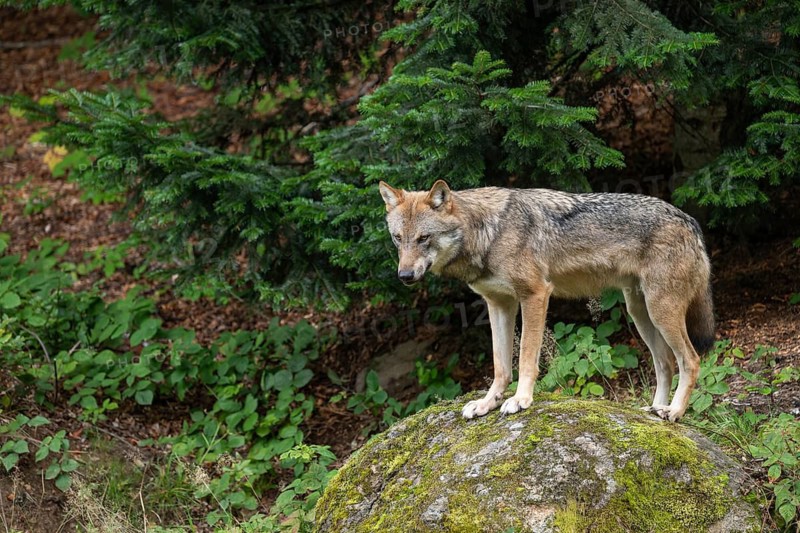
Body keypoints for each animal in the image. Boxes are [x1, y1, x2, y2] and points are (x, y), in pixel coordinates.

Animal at [378, 180, 714, 422]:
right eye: (398, 238)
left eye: (424, 238)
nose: (404, 275)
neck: (488, 233)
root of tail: (691, 221)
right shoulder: (499, 305)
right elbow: (501, 366)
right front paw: (488, 403)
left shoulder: (535, 295)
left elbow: (527, 357)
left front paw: (520, 400)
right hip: (640, 313)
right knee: (666, 363)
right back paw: (653, 411)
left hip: (660, 312)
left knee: (691, 360)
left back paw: (673, 412)